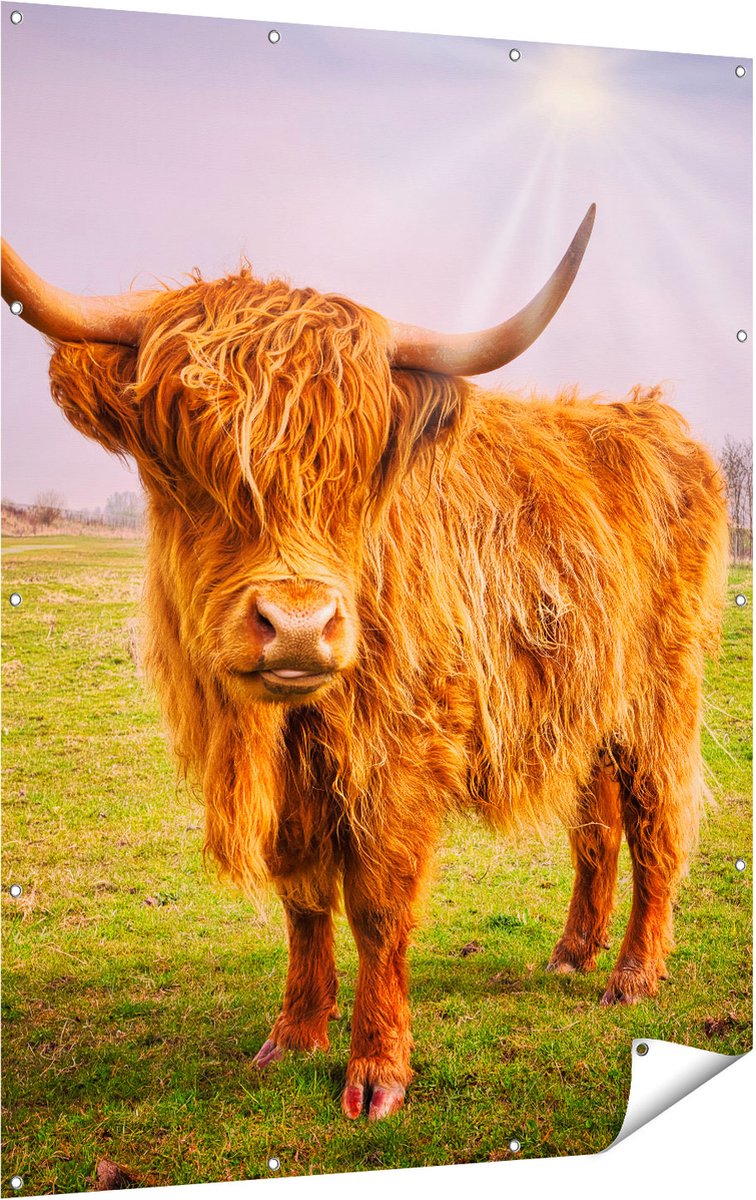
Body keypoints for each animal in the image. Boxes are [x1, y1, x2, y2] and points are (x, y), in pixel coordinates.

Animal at [1, 208, 728, 1121]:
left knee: (655, 819)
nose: (299, 627)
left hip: (659, 691)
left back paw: (632, 975)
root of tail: (647, 416)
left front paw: (377, 1070)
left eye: (355, 469)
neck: (284, 729)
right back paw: (573, 950)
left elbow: (378, 906)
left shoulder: (400, 753)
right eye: (189, 458)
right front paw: (295, 1034)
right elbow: (304, 899)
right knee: (595, 825)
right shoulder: (295, 783)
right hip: (586, 695)